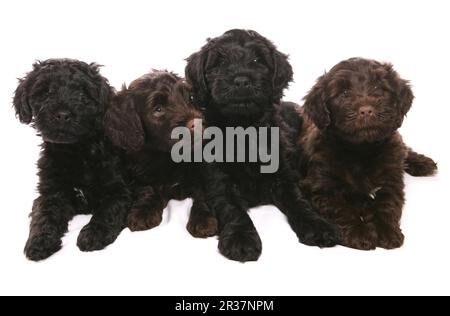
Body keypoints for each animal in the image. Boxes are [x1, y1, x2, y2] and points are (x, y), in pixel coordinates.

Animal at [13, 58, 130, 260]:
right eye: (46, 92)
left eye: (82, 93)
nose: (63, 114)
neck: (75, 151)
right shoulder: (50, 192)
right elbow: (43, 215)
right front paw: (39, 242)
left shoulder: (118, 192)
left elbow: (107, 213)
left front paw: (92, 235)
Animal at [105, 69, 218, 237]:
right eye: (158, 109)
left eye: (190, 98)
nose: (198, 124)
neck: (168, 156)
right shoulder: (137, 171)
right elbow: (148, 188)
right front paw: (143, 212)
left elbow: (203, 193)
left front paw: (203, 219)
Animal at [185, 29, 338, 262]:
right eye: (219, 63)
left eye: (258, 60)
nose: (241, 81)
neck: (243, 129)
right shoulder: (220, 180)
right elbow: (233, 209)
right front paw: (241, 238)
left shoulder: (284, 176)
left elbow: (299, 201)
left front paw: (317, 226)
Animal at [298, 56, 436, 249]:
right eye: (344, 93)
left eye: (379, 88)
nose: (366, 110)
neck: (361, 150)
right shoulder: (319, 188)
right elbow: (342, 209)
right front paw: (360, 232)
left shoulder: (391, 180)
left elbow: (387, 205)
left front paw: (387, 231)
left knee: (404, 149)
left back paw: (424, 163)